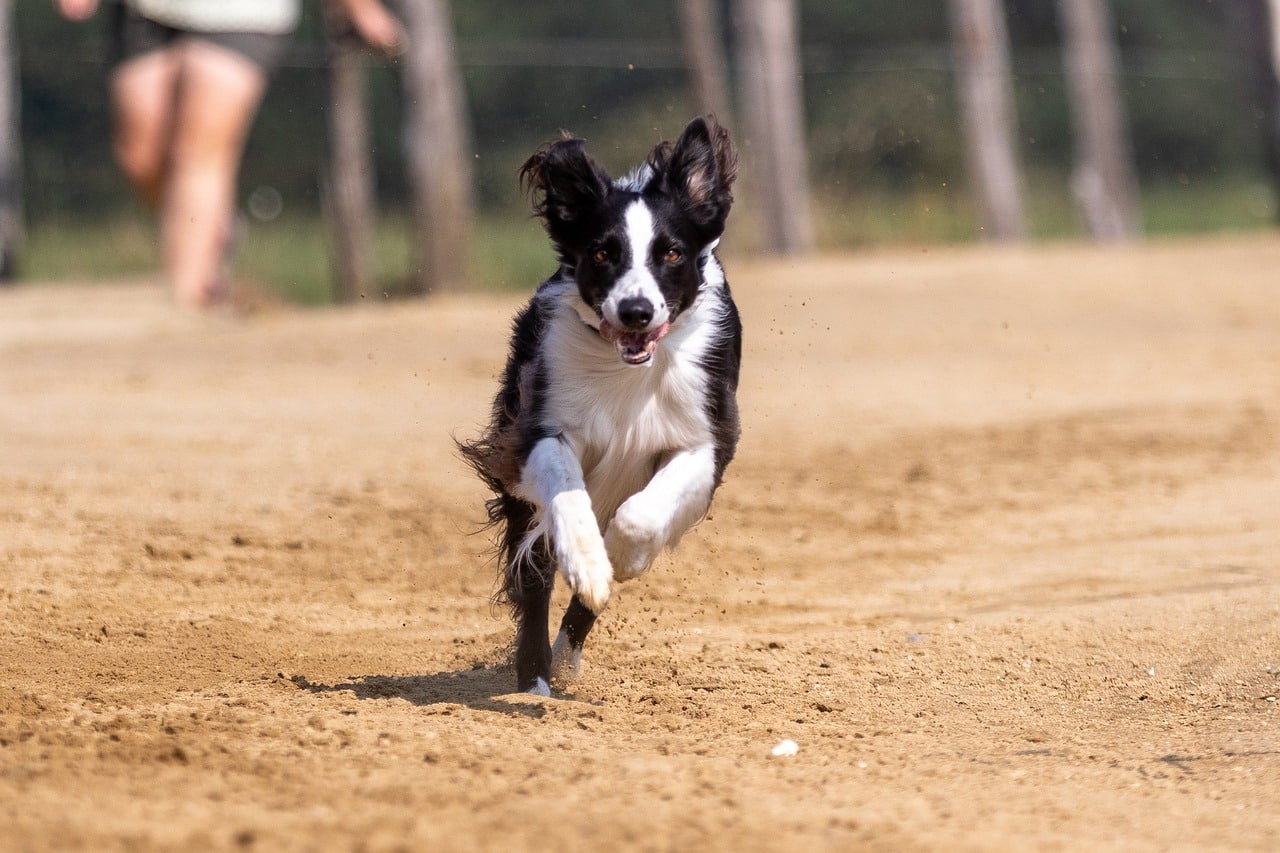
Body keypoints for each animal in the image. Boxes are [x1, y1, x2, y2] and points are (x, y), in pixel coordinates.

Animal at [458, 117, 742, 691]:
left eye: (672, 252)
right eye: (602, 252)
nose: (635, 311)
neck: (625, 371)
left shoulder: (706, 440)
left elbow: (640, 518)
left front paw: (619, 558)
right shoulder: (534, 431)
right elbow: (567, 498)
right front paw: (590, 566)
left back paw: (567, 655)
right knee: (533, 576)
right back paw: (537, 679)